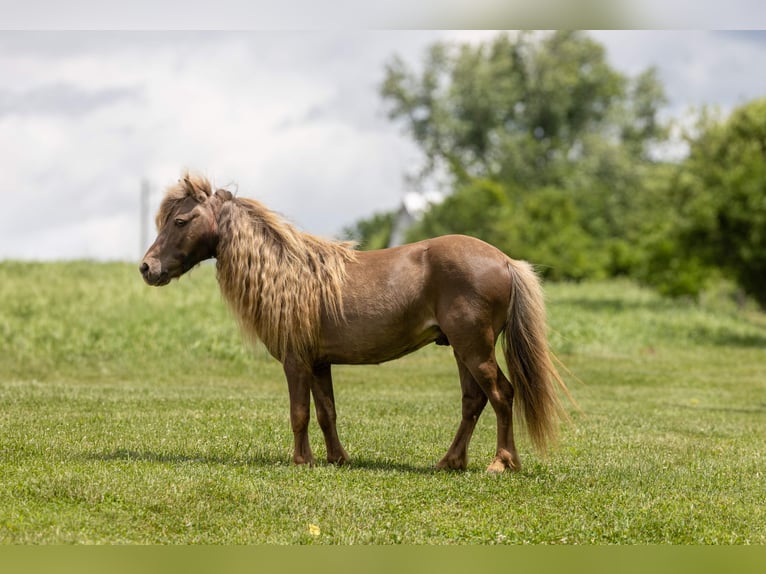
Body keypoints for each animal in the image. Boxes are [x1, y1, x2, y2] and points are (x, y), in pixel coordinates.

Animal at [140, 173, 571, 473]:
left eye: (181, 220)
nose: (147, 268)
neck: (287, 272)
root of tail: (505, 261)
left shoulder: (295, 361)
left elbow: (299, 412)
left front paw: (302, 461)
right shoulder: (318, 363)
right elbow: (326, 412)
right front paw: (336, 458)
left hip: (474, 348)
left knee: (501, 394)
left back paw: (501, 462)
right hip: (462, 351)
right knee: (474, 401)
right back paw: (450, 462)